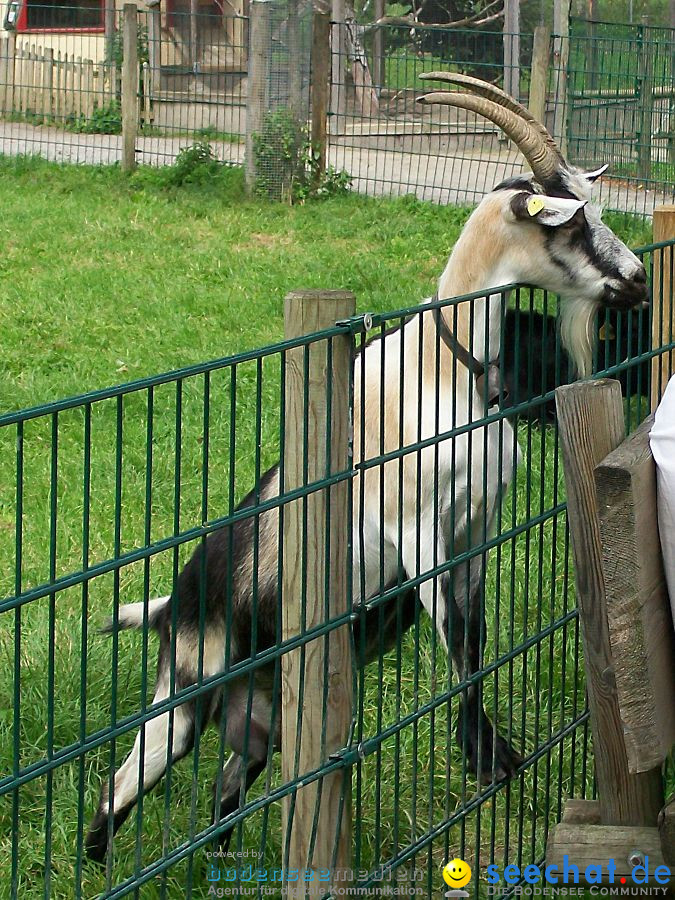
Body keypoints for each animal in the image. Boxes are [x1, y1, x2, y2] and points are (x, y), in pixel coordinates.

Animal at [84, 74, 648, 860]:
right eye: (567, 225)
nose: (637, 280)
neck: (444, 372)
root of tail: (171, 606)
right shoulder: (412, 527)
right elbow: (456, 639)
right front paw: (488, 757)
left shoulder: (477, 525)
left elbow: (475, 638)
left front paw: (485, 750)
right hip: (186, 692)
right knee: (116, 790)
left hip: (258, 718)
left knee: (228, 788)